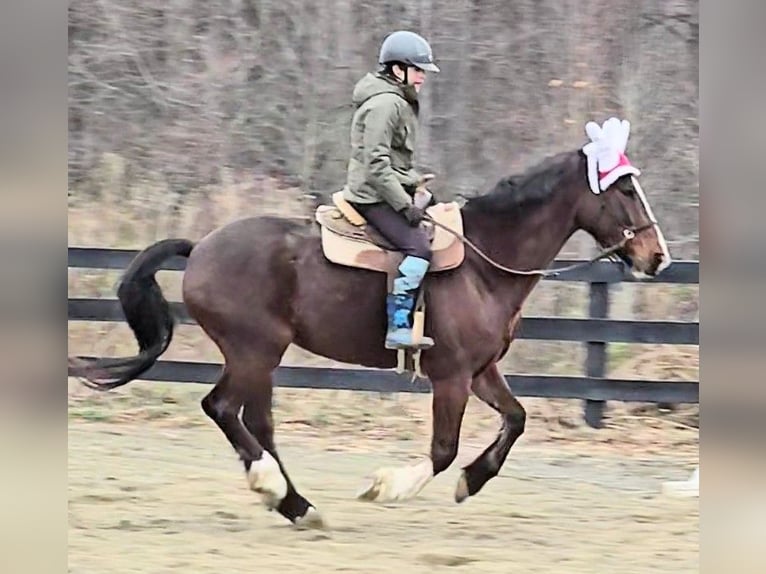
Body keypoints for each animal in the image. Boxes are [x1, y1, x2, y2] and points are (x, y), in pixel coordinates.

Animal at [70, 124, 672, 529]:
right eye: (624, 191)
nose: (657, 257)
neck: (484, 262)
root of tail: (201, 248)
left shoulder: (481, 371)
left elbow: (516, 420)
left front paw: (471, 482)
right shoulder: (451, 377)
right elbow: (442, 449)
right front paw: (388, 488)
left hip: (260, 356)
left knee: (255, 423)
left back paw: (295, 503)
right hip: (254, 350)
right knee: (223, 409)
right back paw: (280, 492)